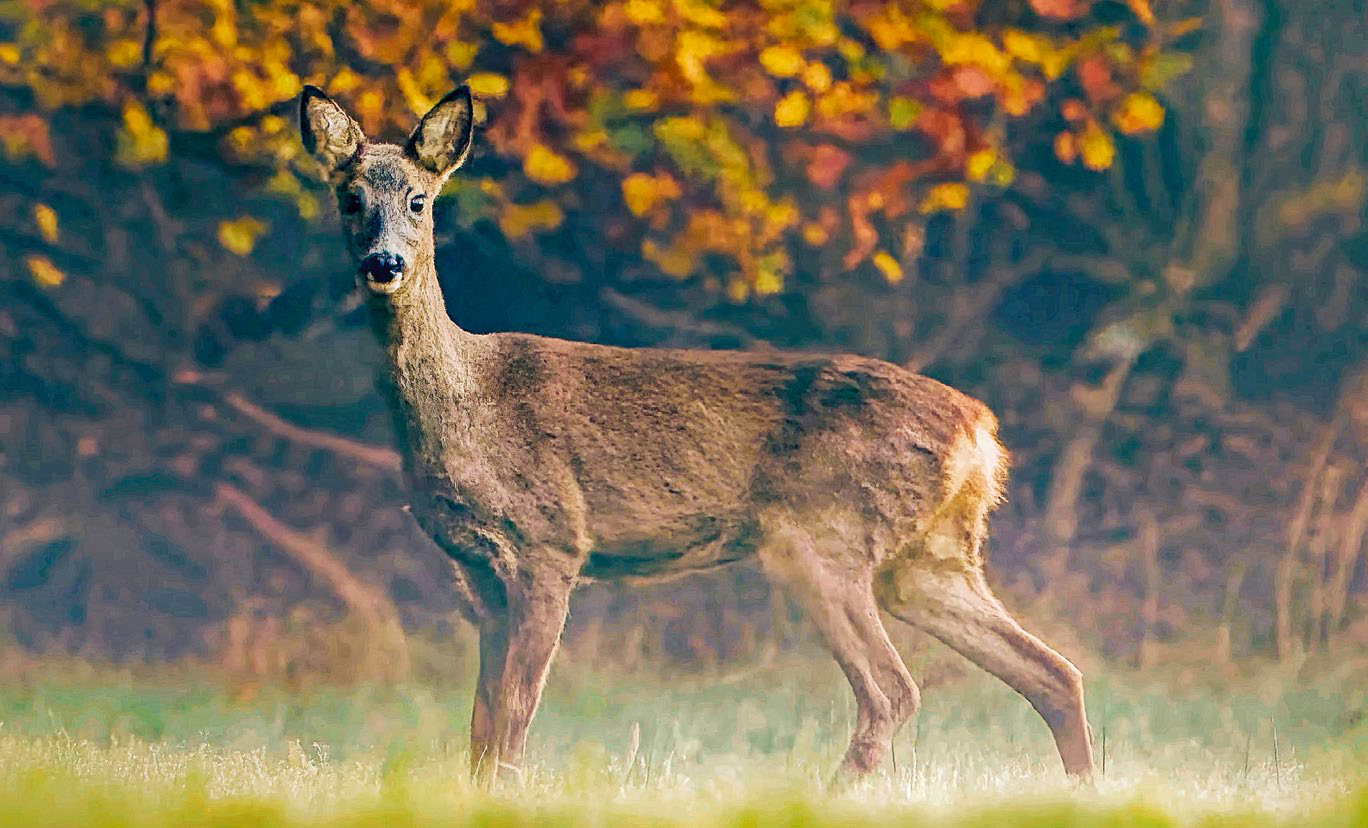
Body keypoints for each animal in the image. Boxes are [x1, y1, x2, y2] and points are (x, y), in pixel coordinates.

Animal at [302, 82, 1099, 782]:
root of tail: (982, 431)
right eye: (350, 198)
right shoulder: (476, 573)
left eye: (419, 199)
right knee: (1054, 671)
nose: (384, 262)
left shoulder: (550, 544)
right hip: (926, 559)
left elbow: (514, 716)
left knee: (894, 691)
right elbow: (481, 722)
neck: (466, 404)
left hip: (824, 536)